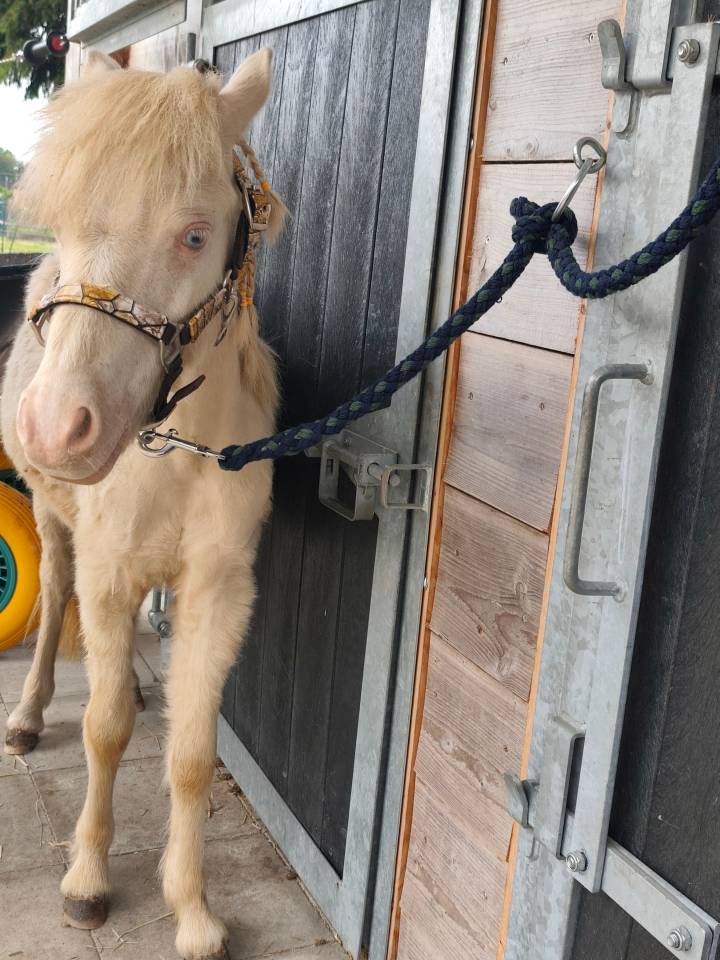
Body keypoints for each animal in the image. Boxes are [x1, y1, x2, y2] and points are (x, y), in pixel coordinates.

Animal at [0, 49, 285, 960]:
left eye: (194, 234)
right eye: (61, 226)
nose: (56, 427)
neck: (178, 452)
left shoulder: (219, 592)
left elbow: (190, 754)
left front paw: (191, 909)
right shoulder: (108, 573)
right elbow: (104, 728)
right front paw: (88, 880)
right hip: (54, 524)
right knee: (56, 603)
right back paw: (28, 714)